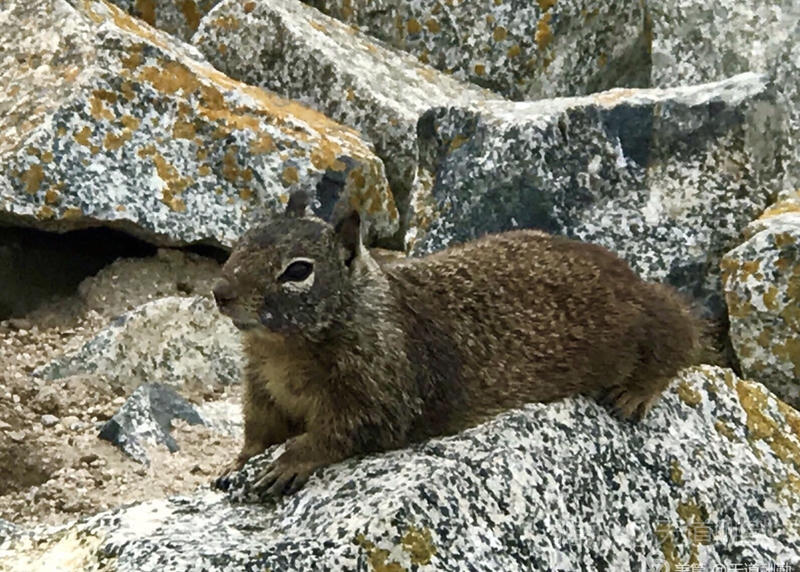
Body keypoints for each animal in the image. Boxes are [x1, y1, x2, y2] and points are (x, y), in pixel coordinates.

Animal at [212, 191, 701, 496]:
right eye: (242, 240)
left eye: (298, 271)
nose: (220, 292)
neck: (283, 348)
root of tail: (627, 273)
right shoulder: (260, 388)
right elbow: (258, 431)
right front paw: (235, 463)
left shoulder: (378, 389)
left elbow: (344, 431)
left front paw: (288, 462)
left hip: (644, 321)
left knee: (679, 328)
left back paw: (636, 392)